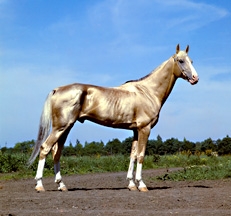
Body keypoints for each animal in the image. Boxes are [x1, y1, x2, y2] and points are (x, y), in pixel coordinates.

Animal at [28, 44, 199, 192]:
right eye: (180, 60)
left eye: (191, 61)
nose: (195, 78)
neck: (148, 91)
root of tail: (57, 89)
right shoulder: (145, 128)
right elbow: (141, 155)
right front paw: (141, 185)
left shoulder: (135, 130)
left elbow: (133, 155)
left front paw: (131, 184)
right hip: (61, 127)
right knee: (45, 148)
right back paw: (39, 185)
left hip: (66, 128)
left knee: (56, 152)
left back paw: (61, 185)